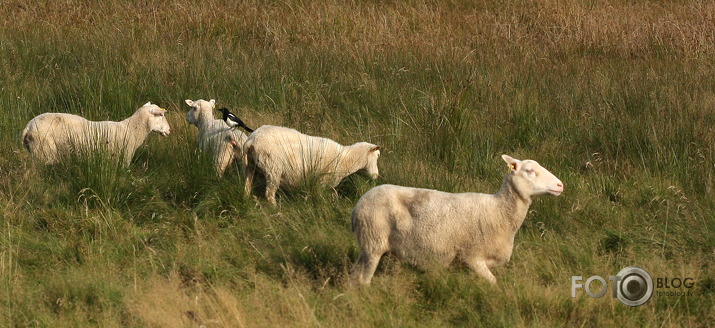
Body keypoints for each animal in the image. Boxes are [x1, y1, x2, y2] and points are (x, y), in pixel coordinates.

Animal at [243, 125, 384, 205]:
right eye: (377, 156)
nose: (376, 176)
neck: (345, 159)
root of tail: (251, 141)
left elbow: (333, 195)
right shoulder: (320, 182)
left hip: (251, 167)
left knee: (247, 187)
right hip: (273, 168)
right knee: (269, 194)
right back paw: (276, 209)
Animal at [352, 154, 564, 284]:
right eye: (530, 171)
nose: (560, 185)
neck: (499, 210)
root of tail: (356, 208)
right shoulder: (472, 256)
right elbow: (493, 282)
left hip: (367, 246)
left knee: (355, 272)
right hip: (374, 241)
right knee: (364, 278)